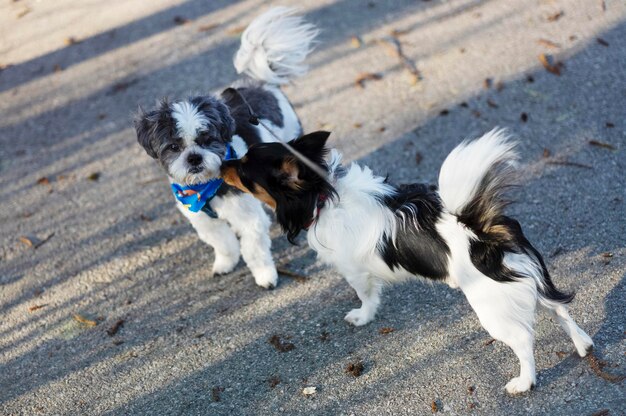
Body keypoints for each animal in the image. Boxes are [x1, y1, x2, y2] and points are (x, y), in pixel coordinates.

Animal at [133, 9, 314, 290]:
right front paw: (225, 263)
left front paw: (265, 275)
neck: (206, 187)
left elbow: (253, 250)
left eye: (207, 139)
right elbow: (223, 242)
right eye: (174, 146)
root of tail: (260, 83)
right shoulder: (204, 221)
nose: (194, 158)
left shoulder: (247, 218)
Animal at [222, 130, 592, 394]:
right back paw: (583, 344)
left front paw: (363, 317)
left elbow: (367, 296)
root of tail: (482, 230)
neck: (322, 194)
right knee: (559, 310)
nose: (222, 161)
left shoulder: (355, 271)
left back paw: (524, 382)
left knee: (524, 341)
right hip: (527, 279)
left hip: (492, 308)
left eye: (242, 168)